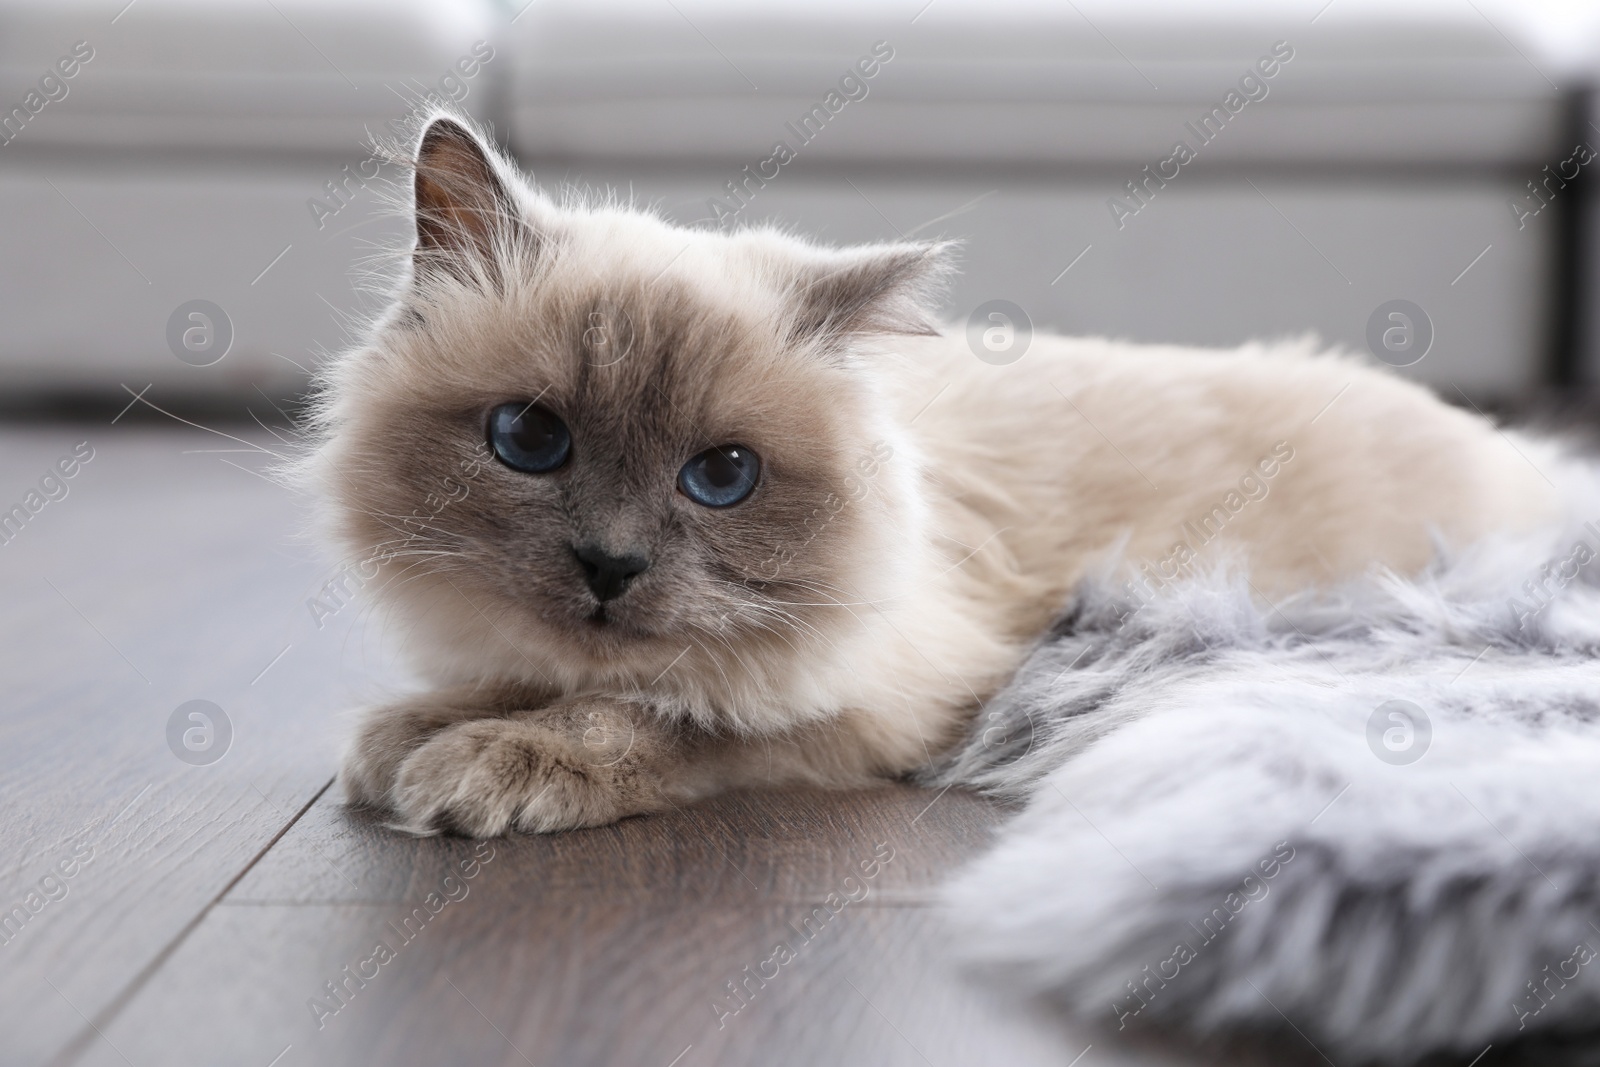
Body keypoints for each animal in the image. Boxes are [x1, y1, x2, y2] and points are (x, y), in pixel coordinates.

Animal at [305, 115, 1555, 831]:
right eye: (530, 439)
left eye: (721, 475)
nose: (609, 565)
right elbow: (523, 681)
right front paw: (410, 734)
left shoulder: (895, 697)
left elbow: (652, 714)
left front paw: (484, 764)